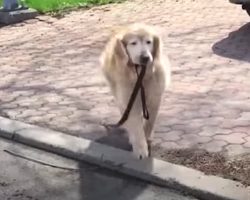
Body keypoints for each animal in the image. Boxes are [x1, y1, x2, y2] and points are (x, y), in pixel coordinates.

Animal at [99, 22, 170, 159]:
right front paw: (140, 149)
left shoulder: (155, 97)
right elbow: (135, 124)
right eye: (133, 43)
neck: (140, 74)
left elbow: (150, 122)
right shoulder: (129, 98)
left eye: (148, 42)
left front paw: (147, 137)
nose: (145, 57)